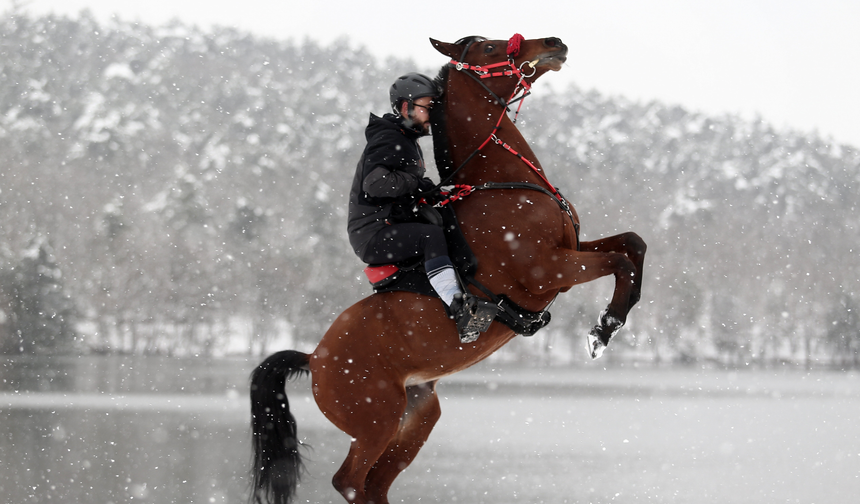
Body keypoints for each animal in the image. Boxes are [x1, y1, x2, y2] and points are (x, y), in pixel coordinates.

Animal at [249, 34, 644, 504]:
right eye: (490, 47)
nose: (554, 43)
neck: (498, 180)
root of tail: (313, 357)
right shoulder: (549, 268)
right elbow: (620, 262)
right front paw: (604, 328)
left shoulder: (571, 250)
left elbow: (632, 245)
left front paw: (614, 320)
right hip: (376, 420)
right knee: (349, 481)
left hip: (418, 414)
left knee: (375, 483)